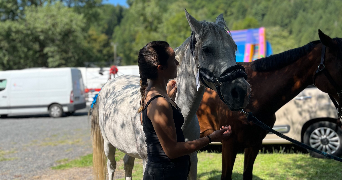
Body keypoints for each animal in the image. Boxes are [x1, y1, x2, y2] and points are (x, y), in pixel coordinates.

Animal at [91, 10, 251, 179]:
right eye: (207, 49)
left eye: (234, 47)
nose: (241, 91)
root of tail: (107, 86)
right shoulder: (147, 161)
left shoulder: (192, 158)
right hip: (108, 145)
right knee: (112, 167)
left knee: (128, 163)